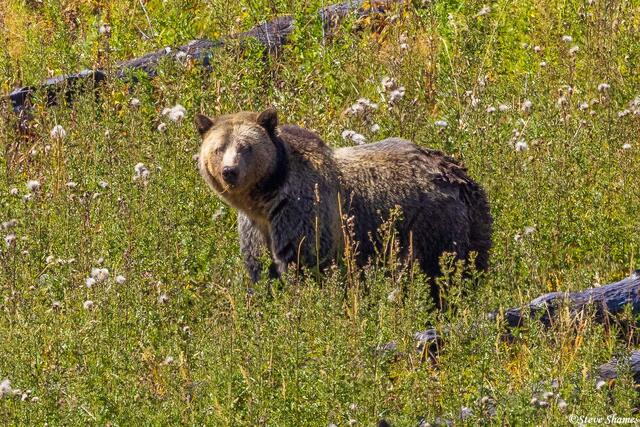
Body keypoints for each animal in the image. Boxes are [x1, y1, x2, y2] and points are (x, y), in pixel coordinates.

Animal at [195, 108, 492, 299]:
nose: (229, 171)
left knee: (439, 270)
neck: (266, 198)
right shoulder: (256, 227)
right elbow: (259, 267)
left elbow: (303, 262)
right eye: (219, 148)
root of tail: (459, 175)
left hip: (428, 223)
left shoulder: (301, 211)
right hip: (473, 222)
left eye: (246, 147)